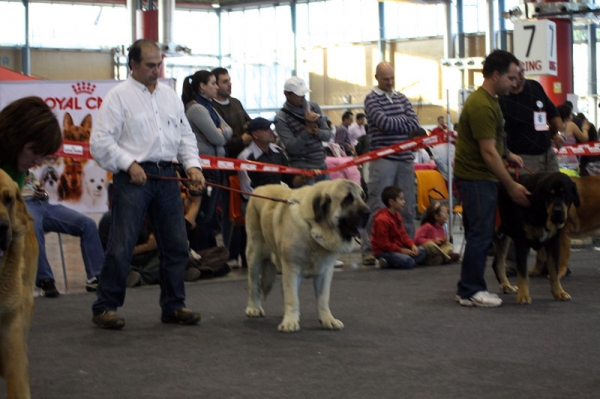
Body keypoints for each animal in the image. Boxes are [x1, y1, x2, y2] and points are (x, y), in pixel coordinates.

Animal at [492, 170, 580, 304]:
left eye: (566, 194)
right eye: (550, 194)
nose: (558, 211)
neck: (542, 214)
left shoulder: (553, 243)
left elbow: (554, 271)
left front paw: (559, 292)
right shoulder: (522, 242)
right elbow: (523, 272)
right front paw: (523, 296)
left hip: (504, 236)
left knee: (498, 261)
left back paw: (506, 286)